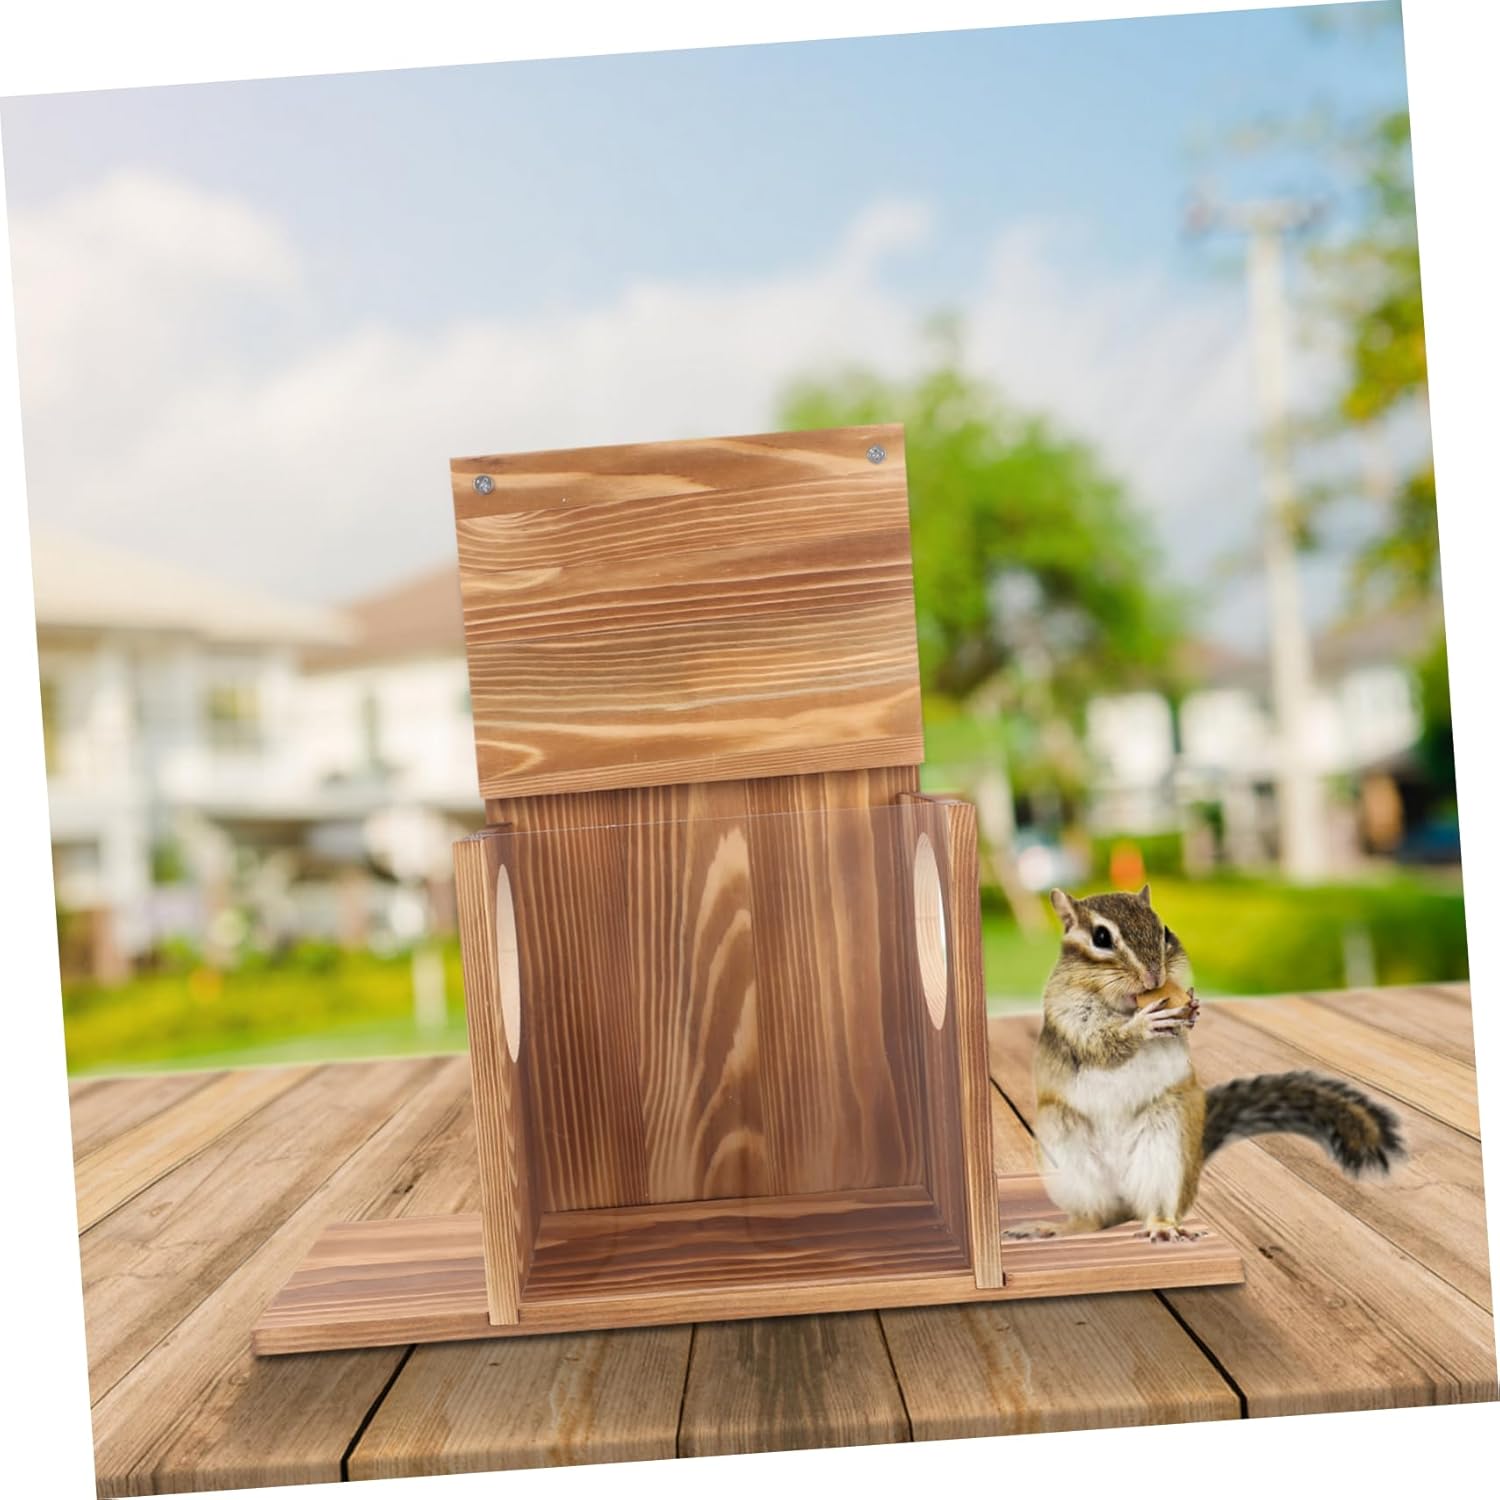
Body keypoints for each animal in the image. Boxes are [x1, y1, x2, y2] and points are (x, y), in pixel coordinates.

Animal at [1003, 884, 1405, 1244]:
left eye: (1164, 930)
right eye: (1101, 937)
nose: (1155, 977)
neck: (1125, 1005)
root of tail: (1125, 1199)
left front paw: (1192, 1009)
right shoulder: (1068, 1011)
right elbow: (1099, 1039)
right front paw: (1144, 1025)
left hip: (1167, 1146)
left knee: (1152, 1205)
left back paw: (1163, 1227)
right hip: (1066, 1152)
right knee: (1095, 1218)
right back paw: (1053, 1229)